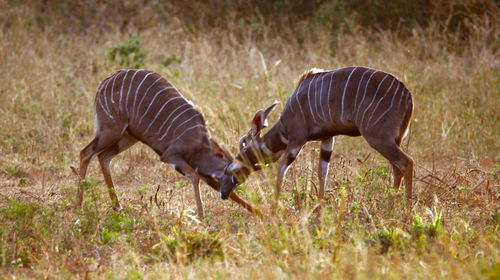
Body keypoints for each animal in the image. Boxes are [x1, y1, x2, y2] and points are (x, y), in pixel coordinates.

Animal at [77, 69, 262, 218]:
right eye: (235, 177)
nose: (224, 195)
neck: (199, 143)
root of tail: (104, 83)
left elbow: (221, 189)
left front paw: (261, 214)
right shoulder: (170, 156)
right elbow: (194, 177)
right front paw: (200, 215)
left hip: (128, 137)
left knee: (103, 157)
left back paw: (117, 207)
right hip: (111, 130)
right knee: (86, 153)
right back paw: (79, 205)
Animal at [220, 65, 414, 206]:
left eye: (233, 168)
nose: (223, 193)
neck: (285, 124)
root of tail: (408, 97)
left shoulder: (297, 139)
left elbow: (281, 168)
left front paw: (275, 208)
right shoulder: (327, 138)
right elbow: (323, 172)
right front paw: (320, 206)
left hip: (378, 137)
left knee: (407, 162)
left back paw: (406, 208)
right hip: (396, 139)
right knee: (397, 168)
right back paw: (392, 201)